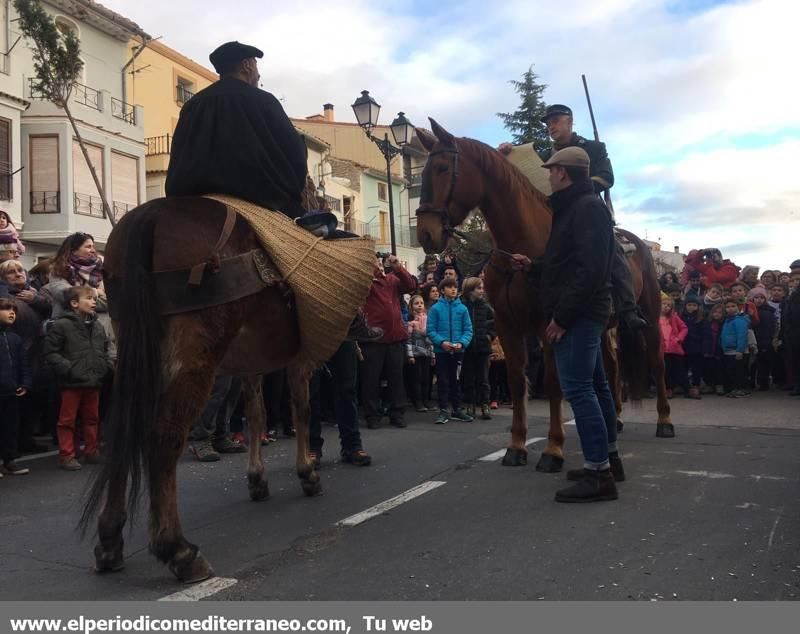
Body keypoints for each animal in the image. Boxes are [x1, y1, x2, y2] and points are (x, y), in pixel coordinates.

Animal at [80, 196, 324, 584]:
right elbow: (301, 408)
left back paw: (109, 541)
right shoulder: (301, 358)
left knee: (124, 427)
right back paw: (178, 550)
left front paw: (258, 479)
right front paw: (308, 472)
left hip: (137, 347)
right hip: (197, 356)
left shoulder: (251, 361)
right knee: (164, 436)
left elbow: (256, 413)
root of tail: (152, 215)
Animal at [416, 121, 672, 472]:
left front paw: (553, 449)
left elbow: (552, 382)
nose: (425, 234)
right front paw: (517, 446)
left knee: (657, 363)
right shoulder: (509, 327)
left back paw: (664, 421)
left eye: (442, 168)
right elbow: (517, 381)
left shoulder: (548, 324)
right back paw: (615, 420)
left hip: (648, 319)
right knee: (612, 366)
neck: (521, 247)